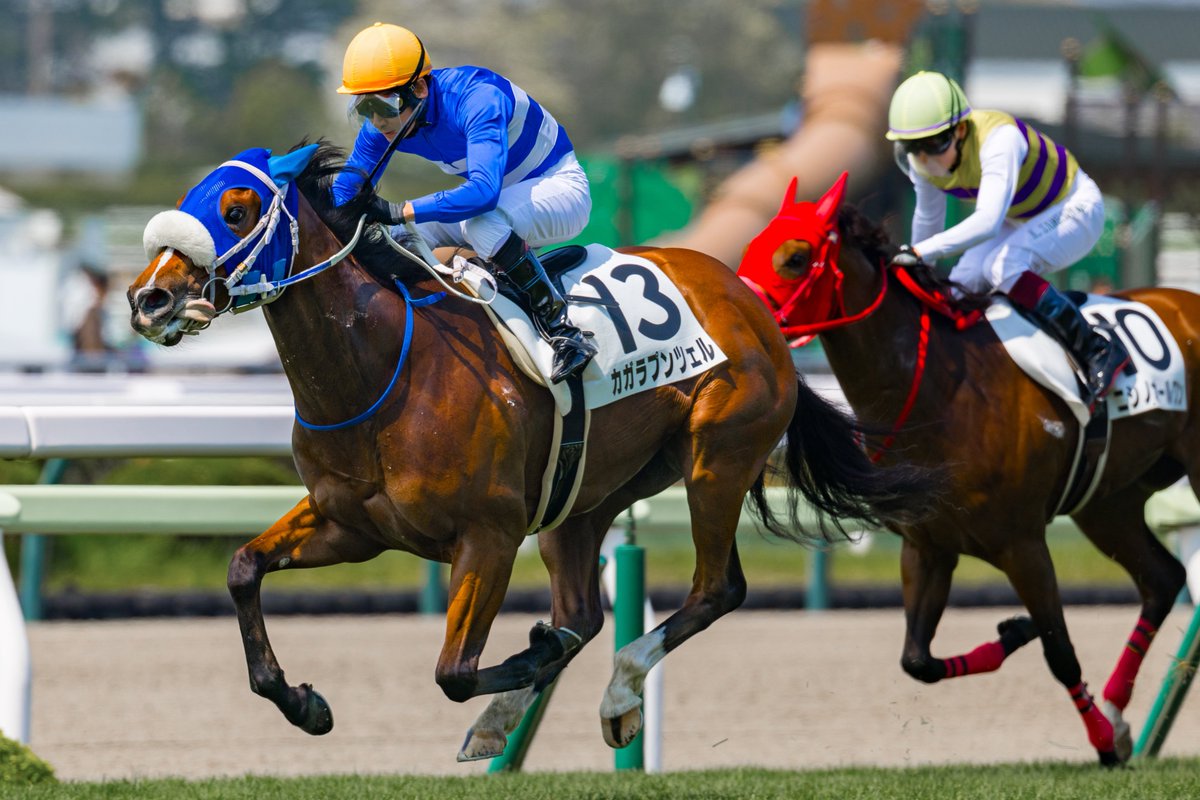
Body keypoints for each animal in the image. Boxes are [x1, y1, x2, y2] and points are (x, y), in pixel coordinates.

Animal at [125, 142, 933, 761]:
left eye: (235, 210)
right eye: (189, 199)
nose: (147, 299)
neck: (383, 371)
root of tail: (745, 296)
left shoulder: (488, 535)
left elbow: (454, 669)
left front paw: (527, 659)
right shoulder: (350, 526)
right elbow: (242, 569)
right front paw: (304, 703)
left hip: (717, 457)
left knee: (713, 590)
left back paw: (612, 695)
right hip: (585, 496)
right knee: (585, 611)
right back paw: (529, 709)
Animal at [738, 173, 1197, 766]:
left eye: (795, 258)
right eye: (750, 247)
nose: (738, 310)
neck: (942, 391)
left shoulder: (1023, 544)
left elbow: (1060, 652)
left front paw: (1100, 739)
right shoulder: (928, 546)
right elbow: (918, 660)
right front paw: (1016, 634)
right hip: (1107, 503)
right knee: (1162, 579)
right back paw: (1118, 708)